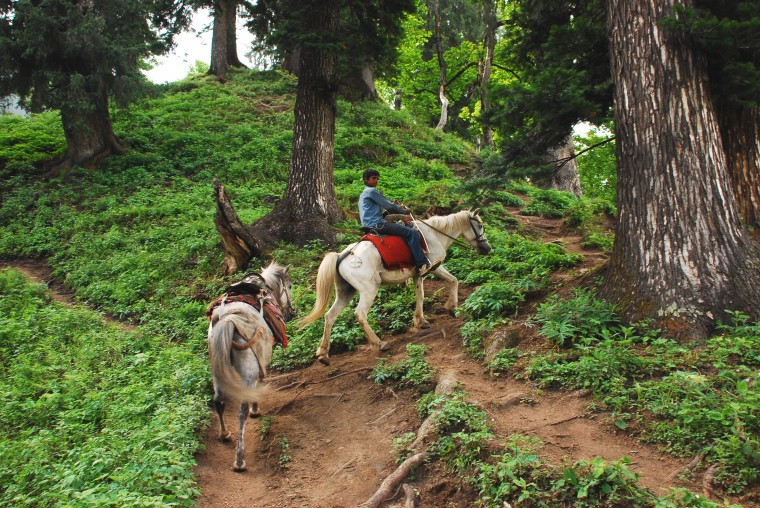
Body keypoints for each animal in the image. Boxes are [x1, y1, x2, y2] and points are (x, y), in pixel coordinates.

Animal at [205, 262, 294, 472]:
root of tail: (228, 319)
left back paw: (224, 435)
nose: (292, 312)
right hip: (248, 370)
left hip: (217, 368)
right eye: (290, 286)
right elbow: (260, 380)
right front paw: (256, 409)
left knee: (219, 400)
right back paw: (239, 460)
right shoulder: (261, 358)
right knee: (241, 410)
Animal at [298, 209, 492, 366]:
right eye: (480, 225)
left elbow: (421, 295)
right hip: (369, 290)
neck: (434, 234)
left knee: (330, 316)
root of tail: (342, 255)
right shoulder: (434, 266)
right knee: (360, 314)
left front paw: (421, 320)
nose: (487, 248)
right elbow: (454, 280)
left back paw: (323, 353)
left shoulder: (417, 274)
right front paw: (452, 307)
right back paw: (379, 343)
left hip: (345, 292)